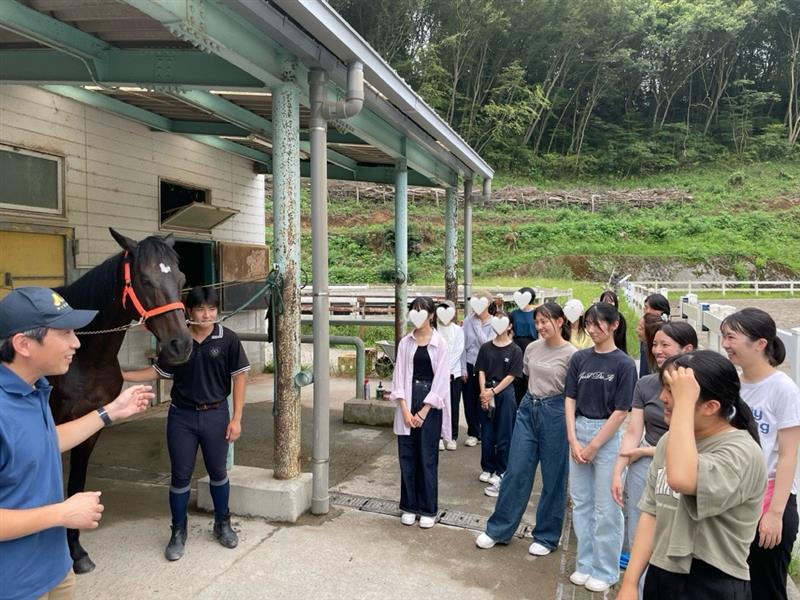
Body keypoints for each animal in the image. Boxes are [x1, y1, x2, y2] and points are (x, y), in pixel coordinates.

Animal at [48, 227, 192, 576]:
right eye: (145, 279)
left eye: (181, 278)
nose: (180, 346)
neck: (84, 353)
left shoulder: (91, 426)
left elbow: (75, 484)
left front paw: (77, 552)